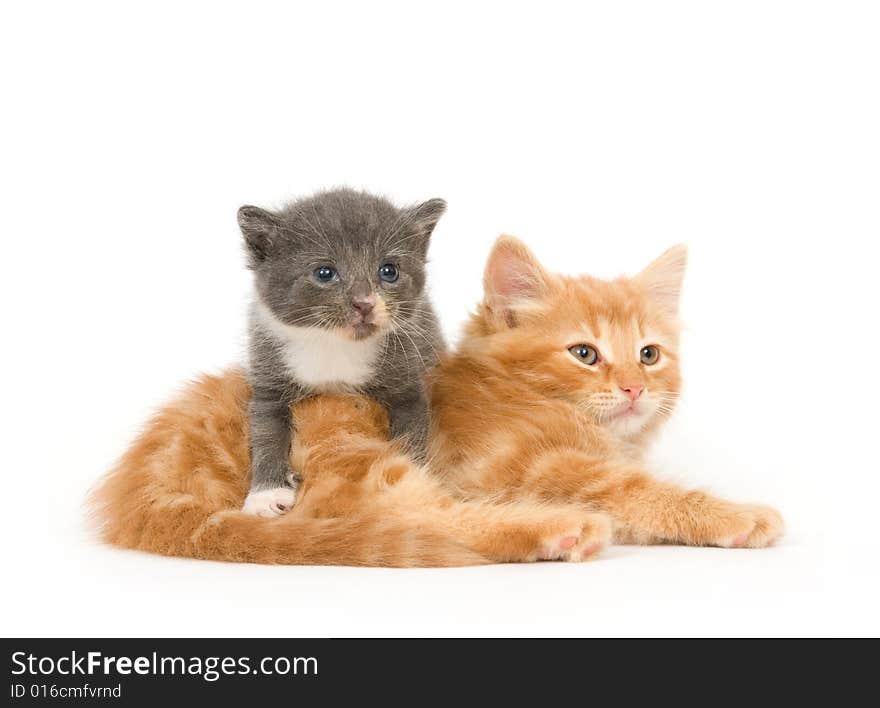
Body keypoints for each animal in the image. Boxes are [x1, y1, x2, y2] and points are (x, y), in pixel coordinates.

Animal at [237, 188, 446, 516]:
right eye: (325, 273)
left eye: (389, 271)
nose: (364, 303)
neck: (335, 345)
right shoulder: (268, 380)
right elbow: (266, 435)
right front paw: (265, 495)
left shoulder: (409, 382)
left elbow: (411, 437)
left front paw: (411, 485)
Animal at [434, 238, 784, 548]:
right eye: (584, 354)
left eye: (648, 355)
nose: (635, 388)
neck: (508, 392)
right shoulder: (501, 470)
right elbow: (628, 487)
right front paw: (736, 515)